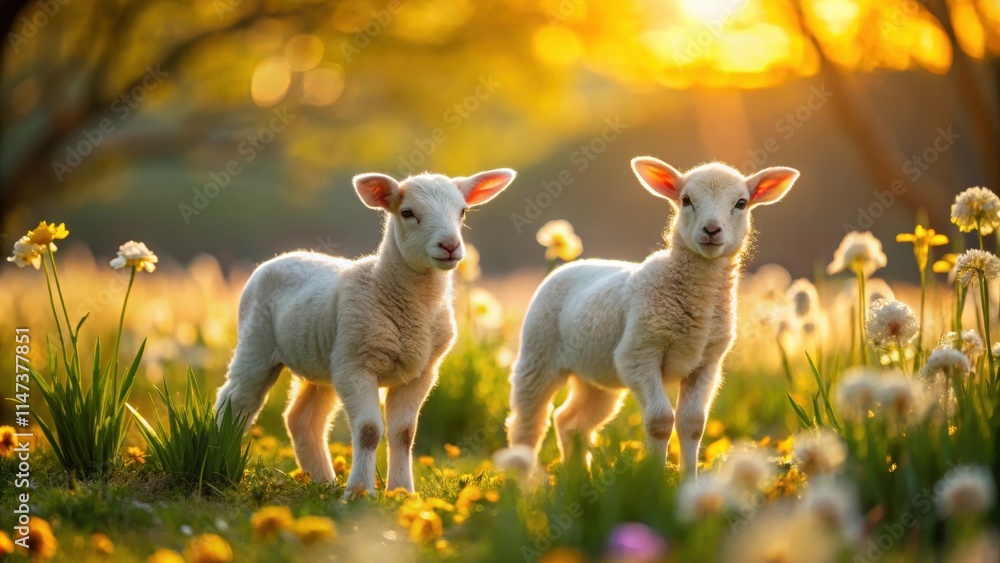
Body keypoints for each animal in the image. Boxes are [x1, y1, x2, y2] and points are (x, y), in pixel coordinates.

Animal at [214, 168, 516, 498]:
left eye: (463, 212)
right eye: (407, 213)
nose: (450, 246)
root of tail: (281, 256)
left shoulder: (421, 373)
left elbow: (404, 433)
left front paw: (402, 492)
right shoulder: (357, 367)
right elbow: (369, 431)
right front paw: (360, 492)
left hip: (321, 363)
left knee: (302, 420)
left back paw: (323, 481)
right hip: (256, 344)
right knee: (235, 402)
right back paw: (221, 460)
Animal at [506, 158, 799, 475]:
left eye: (741, 203)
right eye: (686, 200)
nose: (711, 229)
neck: (699, 303)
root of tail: (572, 264)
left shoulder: (707, 363)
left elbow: (692, 424)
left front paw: (689, 480)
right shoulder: (638, 354)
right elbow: (660, 421)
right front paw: (655, 481)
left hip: (596, 376)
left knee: (569, 421)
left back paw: (576, 477)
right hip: (538, 355)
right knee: (527, 425)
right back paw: (520, 481)